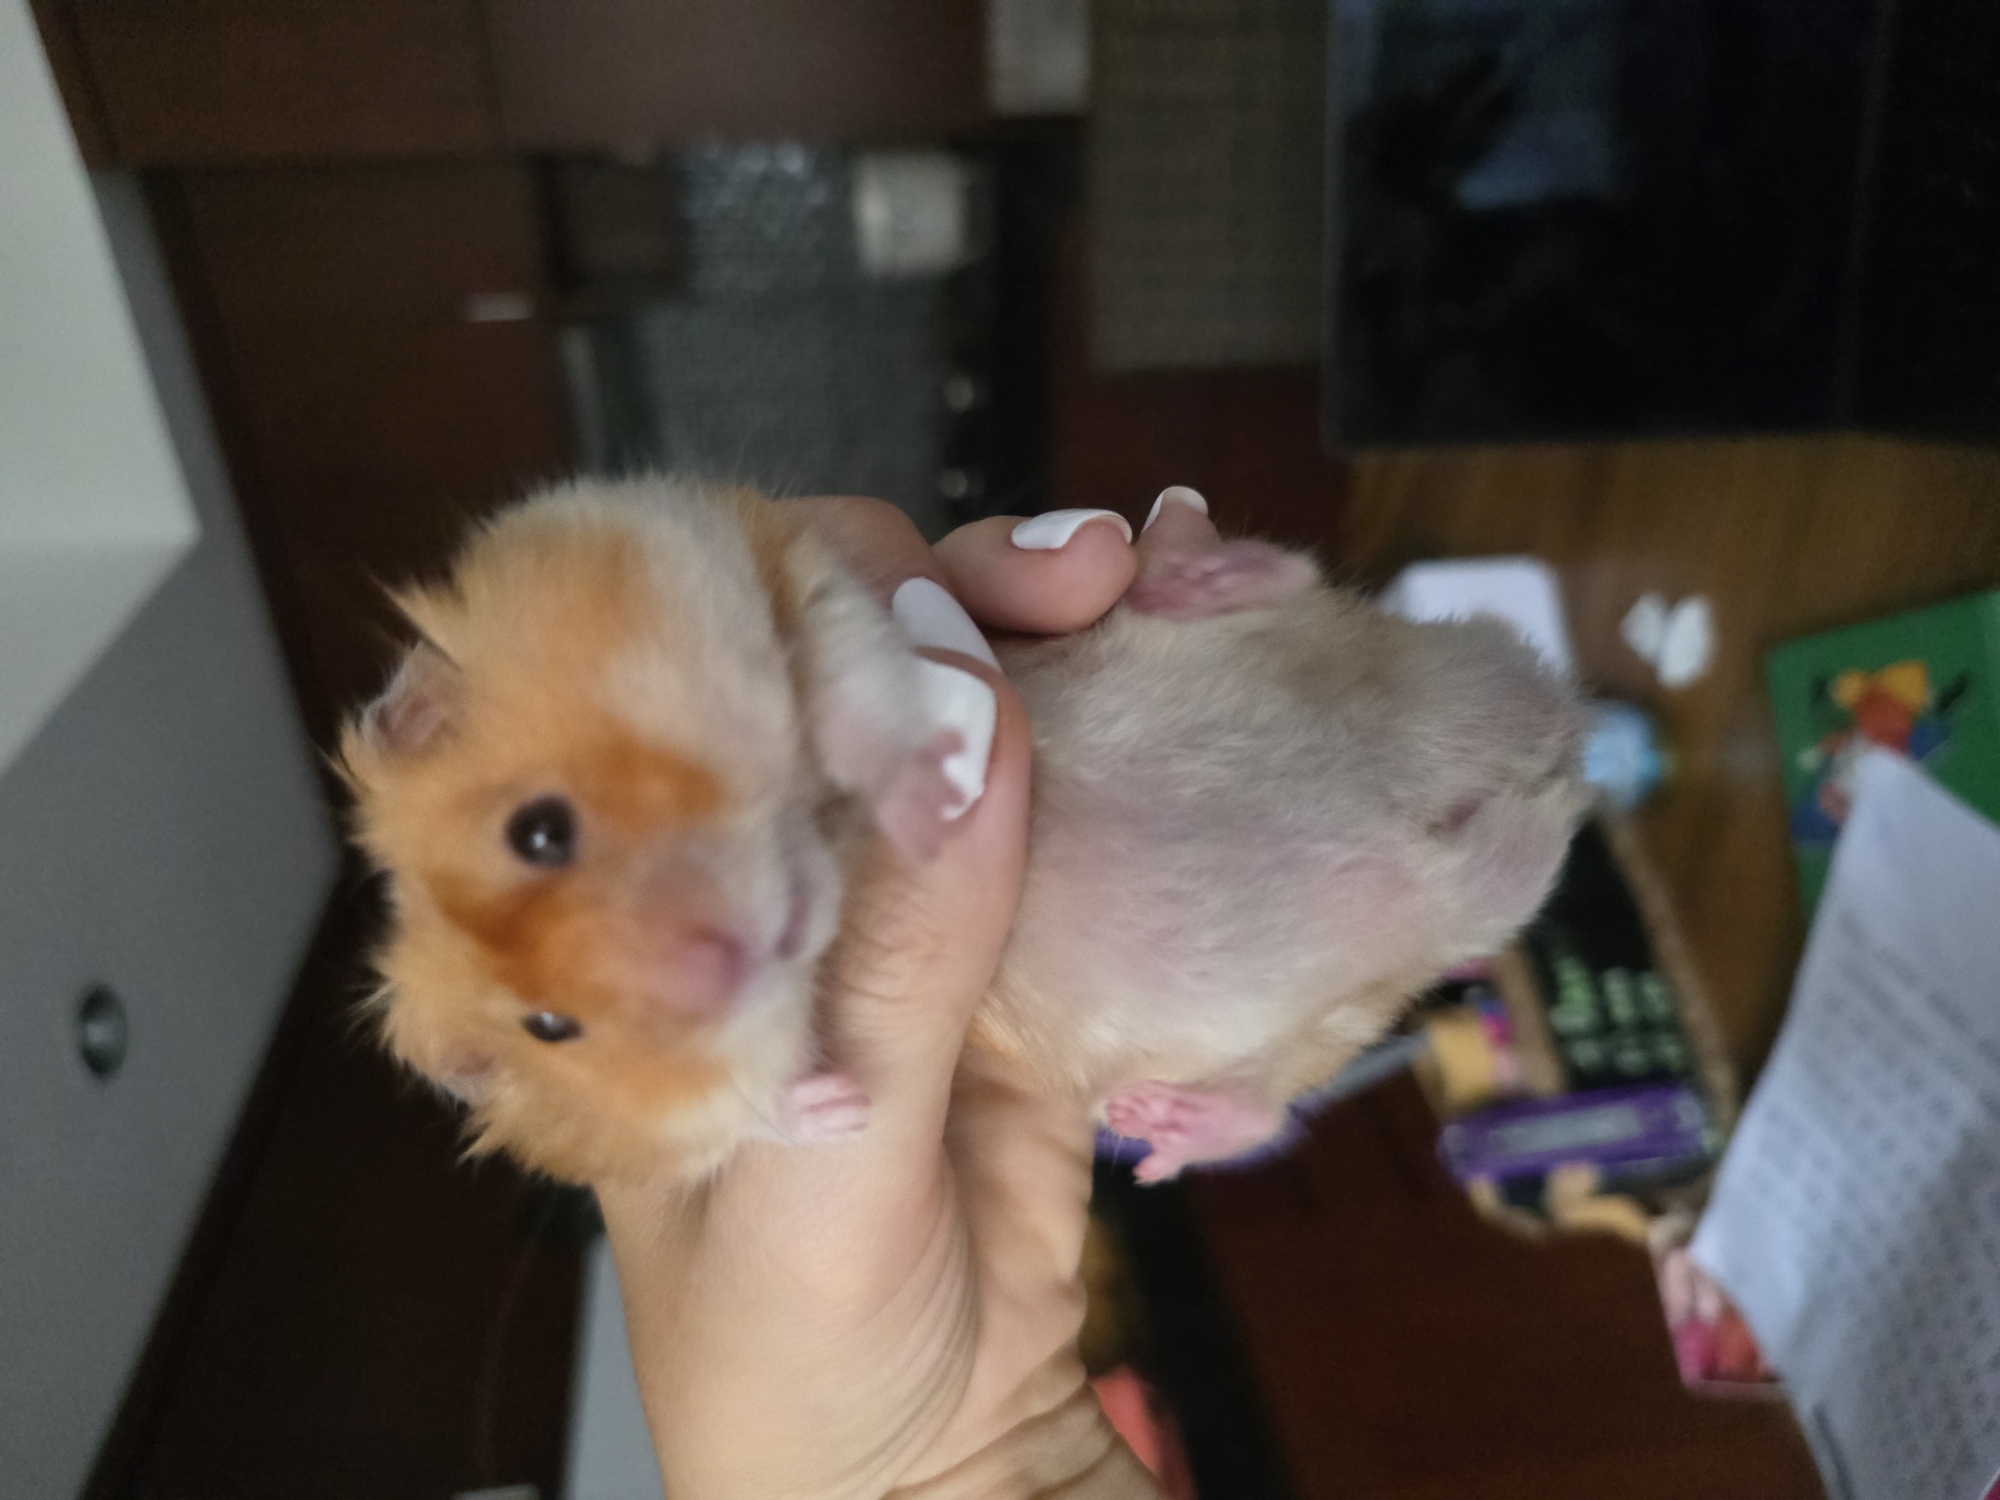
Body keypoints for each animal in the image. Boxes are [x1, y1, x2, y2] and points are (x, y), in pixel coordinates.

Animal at [340, 478, 1585, 1185]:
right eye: (551, 1028)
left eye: (540, 832)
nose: (726, 962)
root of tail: (1535, 757)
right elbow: (726, 1117)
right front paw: (832, 1108)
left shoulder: (728, 544)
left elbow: (855, 664)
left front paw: (932, 782)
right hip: (1344, 1005)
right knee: (1265, 1098)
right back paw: (1159, 1135)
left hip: (1296, 661)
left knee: (1257, 580)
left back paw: (1199, 570)